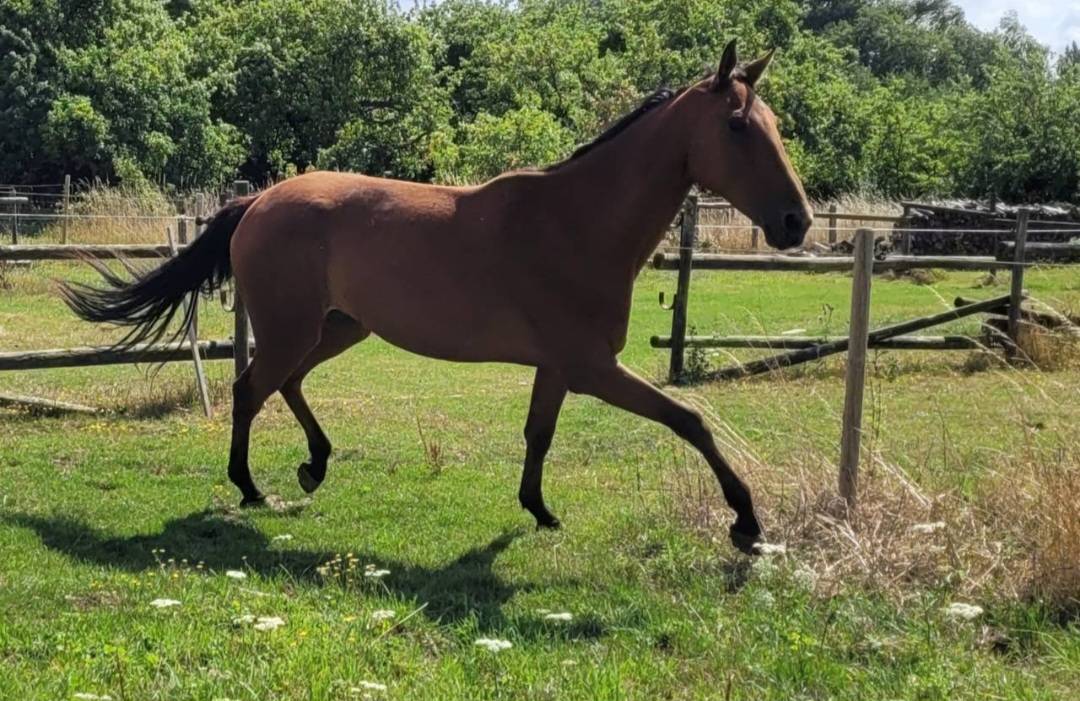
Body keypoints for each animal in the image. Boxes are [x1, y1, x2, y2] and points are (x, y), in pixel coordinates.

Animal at [63, 40, 812, 554]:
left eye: (774, 123)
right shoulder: (594, 368)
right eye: (738, 126)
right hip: (294, 328)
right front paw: (746, 521)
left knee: (287, 384)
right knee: (251, 389)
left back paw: (315, 465)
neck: (579, 220)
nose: (796, 221)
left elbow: (539, 434)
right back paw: (252, 487)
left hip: (338, 327)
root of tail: (259, 202)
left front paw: (539, 510)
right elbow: (690, 420)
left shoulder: (558, 368)